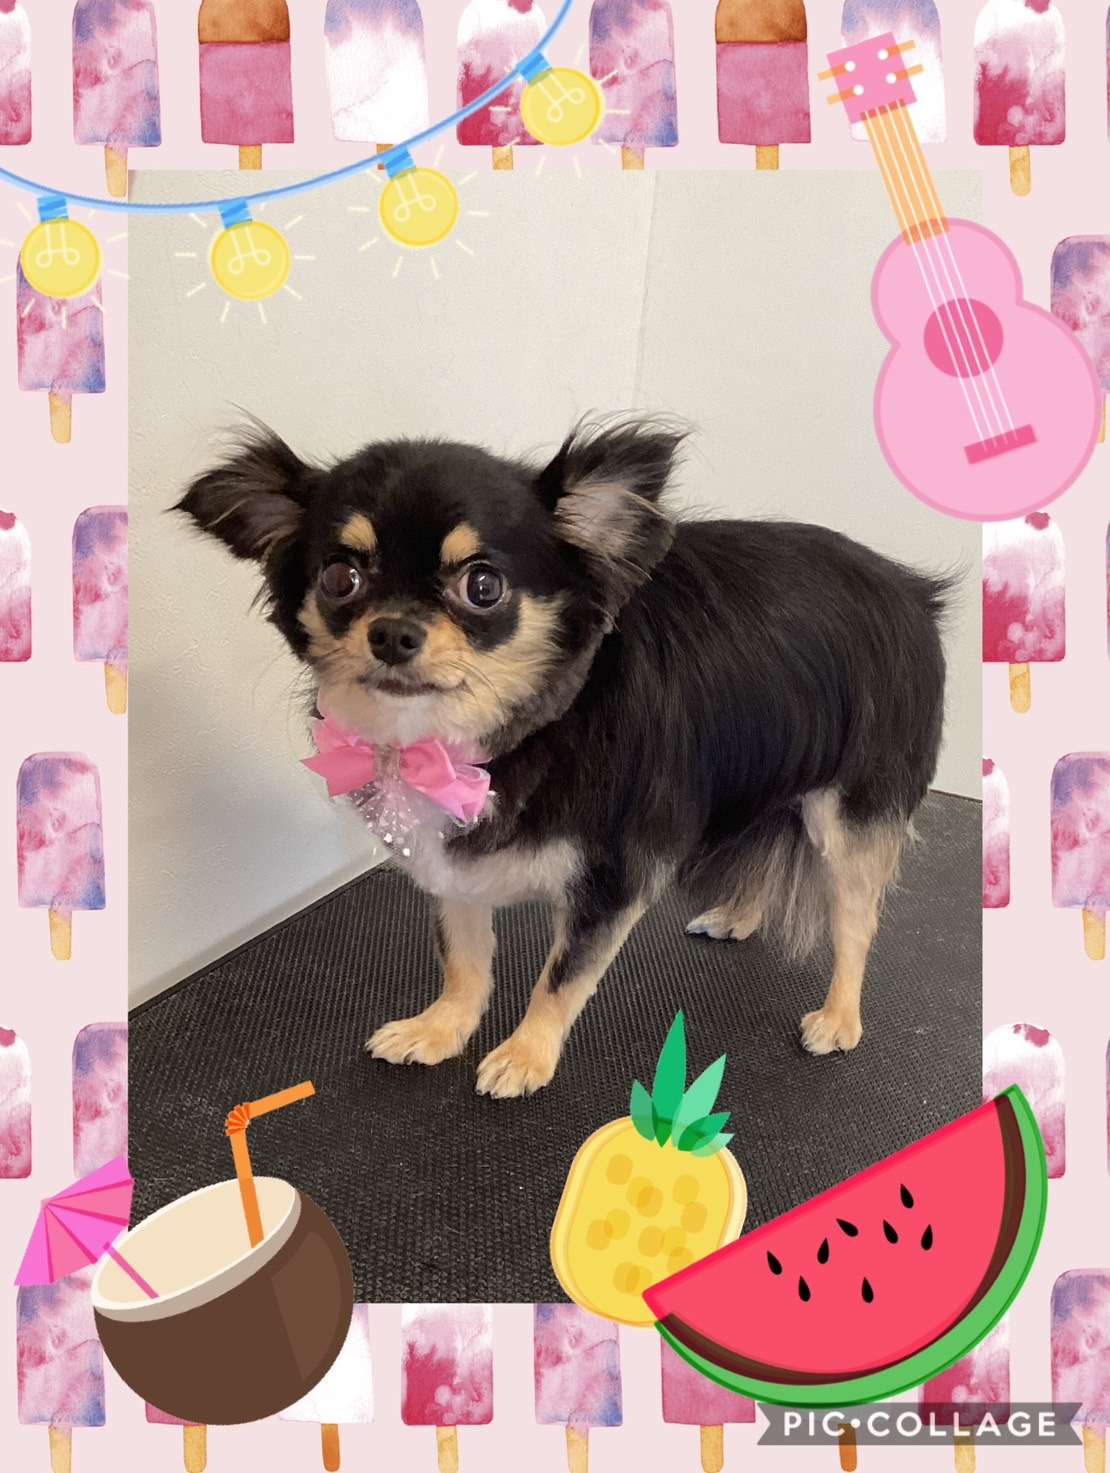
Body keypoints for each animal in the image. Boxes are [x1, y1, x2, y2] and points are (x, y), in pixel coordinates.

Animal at [176, 419, 949, 1097]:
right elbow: (462, 958)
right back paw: (737, 914)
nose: (392, 631)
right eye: (340, 577)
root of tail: (911, 590)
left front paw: (524, 1055)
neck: (502, 734)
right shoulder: (453, 859)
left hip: (849, 814)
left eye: (482, 585)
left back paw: (839, 1017)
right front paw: (441, 1028)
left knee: (856, 920)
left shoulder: (615, 875)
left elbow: (561, 976)